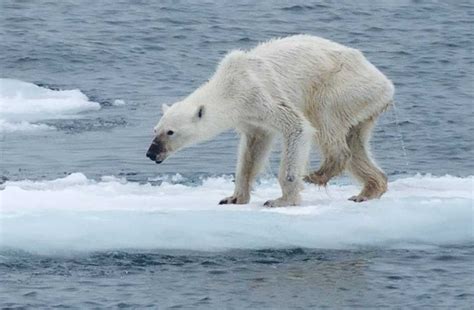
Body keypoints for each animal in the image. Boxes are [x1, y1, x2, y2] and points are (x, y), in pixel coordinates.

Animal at [146, 35, 394, 207]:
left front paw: (281, 200)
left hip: (342, 87)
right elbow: (252, 150)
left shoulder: (260, 95)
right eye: (155, 130)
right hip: (363, 105)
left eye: (170, 132)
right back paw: (368, 190)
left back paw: (317, 174)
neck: (230, 85)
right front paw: (233, 198)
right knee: (356, 142)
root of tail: (386, 84)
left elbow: (297, 127)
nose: (151, 153)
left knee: (325, 120)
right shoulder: (250, 117)